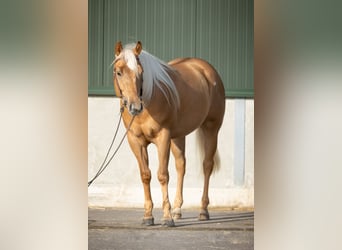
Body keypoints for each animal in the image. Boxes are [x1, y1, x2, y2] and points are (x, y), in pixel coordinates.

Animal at [112, 40, 226, 227]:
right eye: (119, 72)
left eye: (141, 72)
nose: (135, 107)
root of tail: (207, 70)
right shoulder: (135, 141)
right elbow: (146, 175)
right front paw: (148, 216)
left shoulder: (163, 138)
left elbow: (162, 175)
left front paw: (166, 217)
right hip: (178, 136)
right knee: (181, 165)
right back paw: (177, 210)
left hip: (211, 128)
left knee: (207, 166)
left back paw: (203, 210)